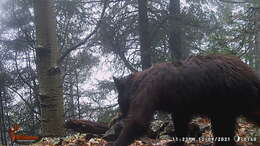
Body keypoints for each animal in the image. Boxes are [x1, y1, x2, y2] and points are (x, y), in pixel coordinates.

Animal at [111, 55, 260, 146]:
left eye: (118, 100)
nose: (121, 114)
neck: (138, 82)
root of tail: (251, 74)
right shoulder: (179, 105)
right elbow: (180, 122)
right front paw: (177, 141)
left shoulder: (149, 90)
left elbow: (139, 119)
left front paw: (119, 141)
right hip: (225, 104)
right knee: (224, 128)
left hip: (231, 97)